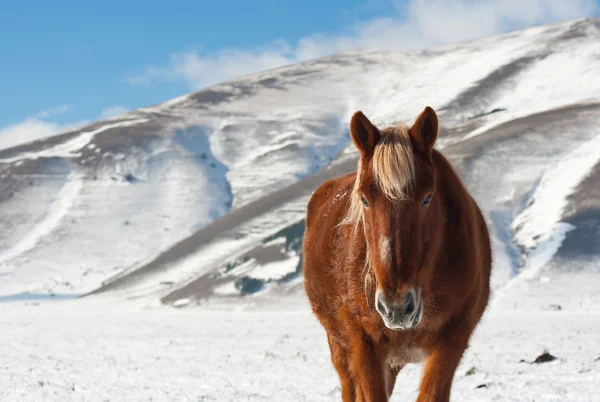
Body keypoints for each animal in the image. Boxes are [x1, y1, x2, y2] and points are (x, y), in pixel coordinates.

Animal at [302, 107, 490, 402]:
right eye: (364, 199)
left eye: (427, 198)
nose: (396, 307)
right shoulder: (363, 345)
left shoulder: (452, 343)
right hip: (340, 347)